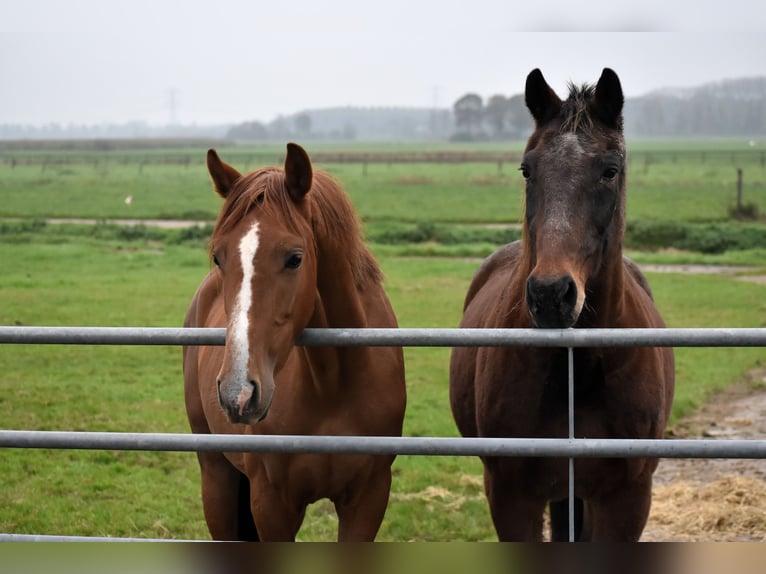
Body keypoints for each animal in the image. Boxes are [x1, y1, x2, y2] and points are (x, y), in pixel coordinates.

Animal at [184, 144, 408, 544]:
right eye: (218, 257)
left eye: (294, 258)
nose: (238, 392)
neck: (332, 386)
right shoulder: (272, 504)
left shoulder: (369, 498)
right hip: (216, 474)